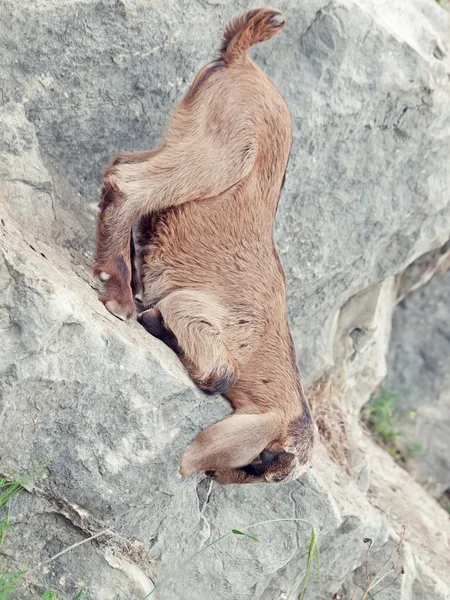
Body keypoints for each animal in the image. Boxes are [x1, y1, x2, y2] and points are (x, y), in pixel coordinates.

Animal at [93, 7, 314, 486]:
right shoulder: (201, 314)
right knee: (130, 184)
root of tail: (243, 59)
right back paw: (118, 288)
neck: (264, 343)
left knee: (124, 163)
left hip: (187, 134)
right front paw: (155, 321)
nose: (215, 478)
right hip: (226, 149)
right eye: (260, 463)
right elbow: (221, 374)